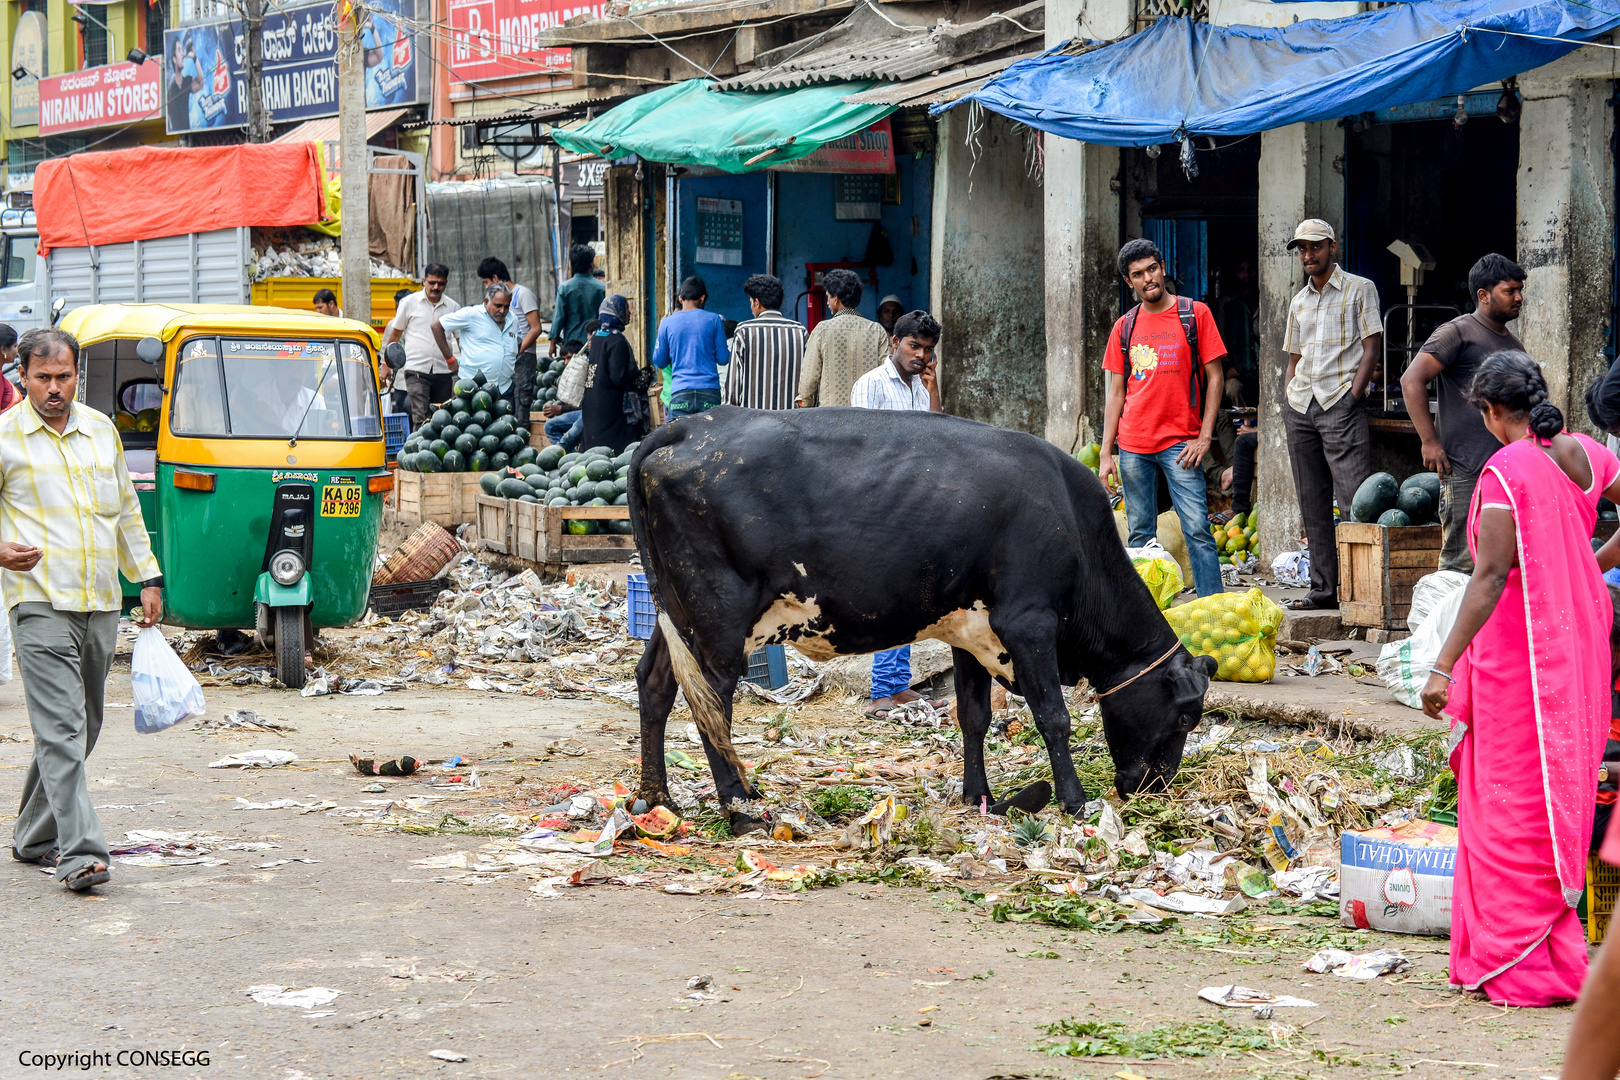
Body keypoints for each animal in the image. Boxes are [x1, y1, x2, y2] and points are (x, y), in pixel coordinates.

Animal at [625, 404, 1211, 835]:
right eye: (1186, 718)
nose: (1154, 788)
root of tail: (686, 426)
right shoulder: (1029, 624)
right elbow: (1054, 717)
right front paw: (1073, 801)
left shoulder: (970, 630)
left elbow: (973, 717)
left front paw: (979, 795)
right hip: (718, 617)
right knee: (711, 702)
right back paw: (738, 808)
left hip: (677, 614)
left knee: (655, 684)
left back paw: (657, 798)